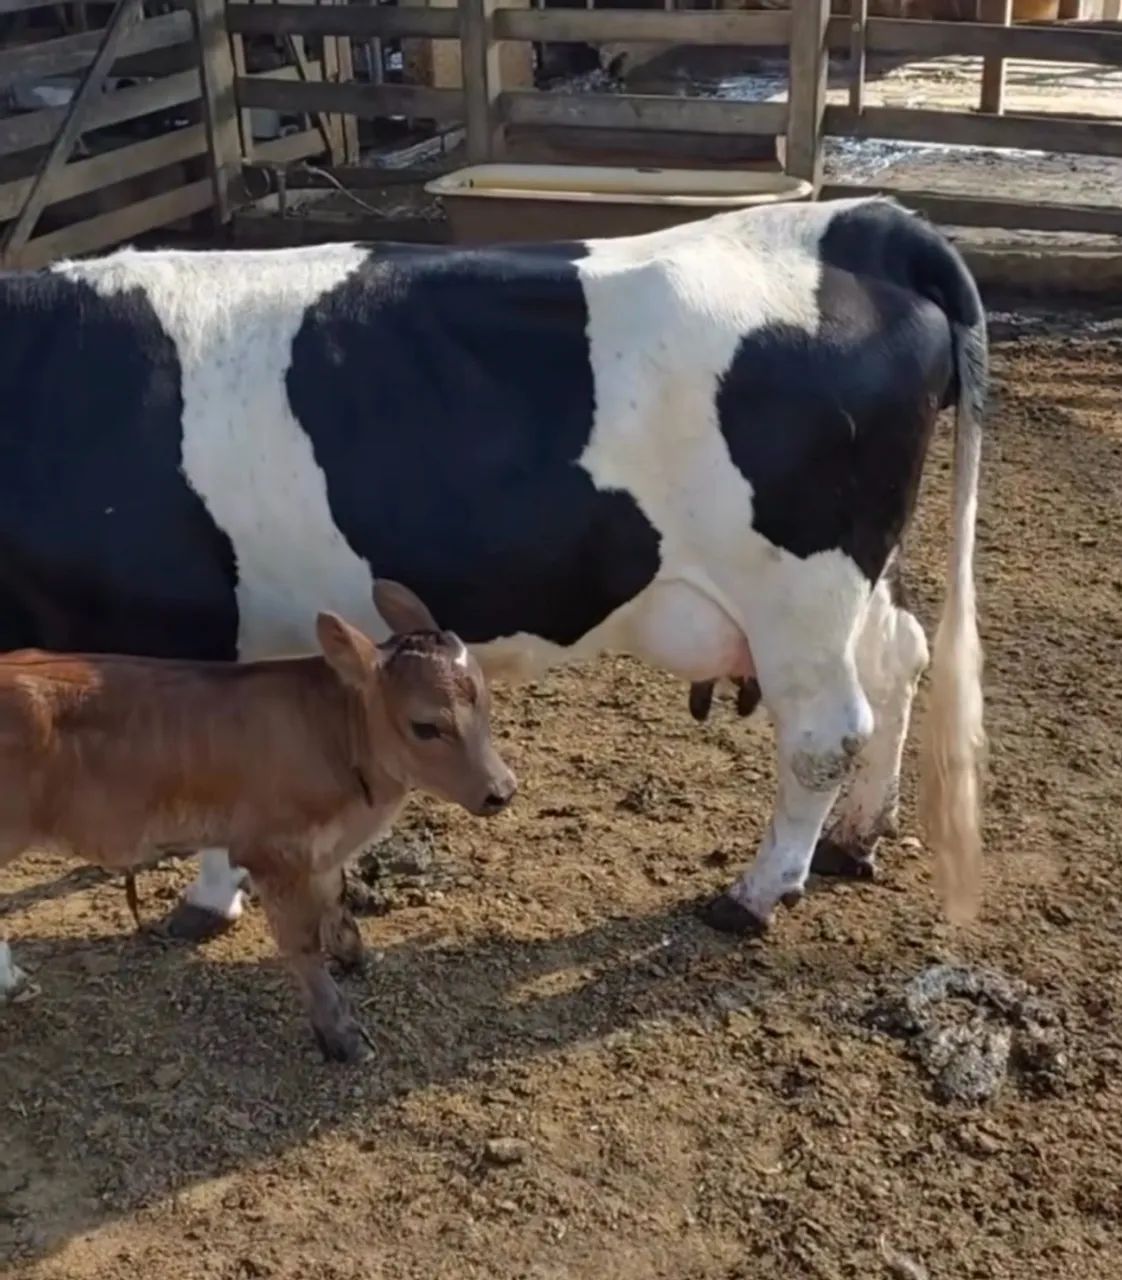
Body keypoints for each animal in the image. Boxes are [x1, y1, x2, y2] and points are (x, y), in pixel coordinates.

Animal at [0, 193, 986, 954]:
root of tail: (861, 222)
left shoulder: (182, 622)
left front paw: (206, 901)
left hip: (797, 585)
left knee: (827, 732)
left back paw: (756, 892)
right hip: (858, 574)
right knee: (899, 659)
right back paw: (858, 837)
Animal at [0, 581, 516, 1060]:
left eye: (487, 705)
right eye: (426, 726)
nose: (502, 790)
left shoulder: (323, 848)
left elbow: (337, 904)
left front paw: (360, 959)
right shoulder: (272, 852)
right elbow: (302, 943)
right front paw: (343, 1038)